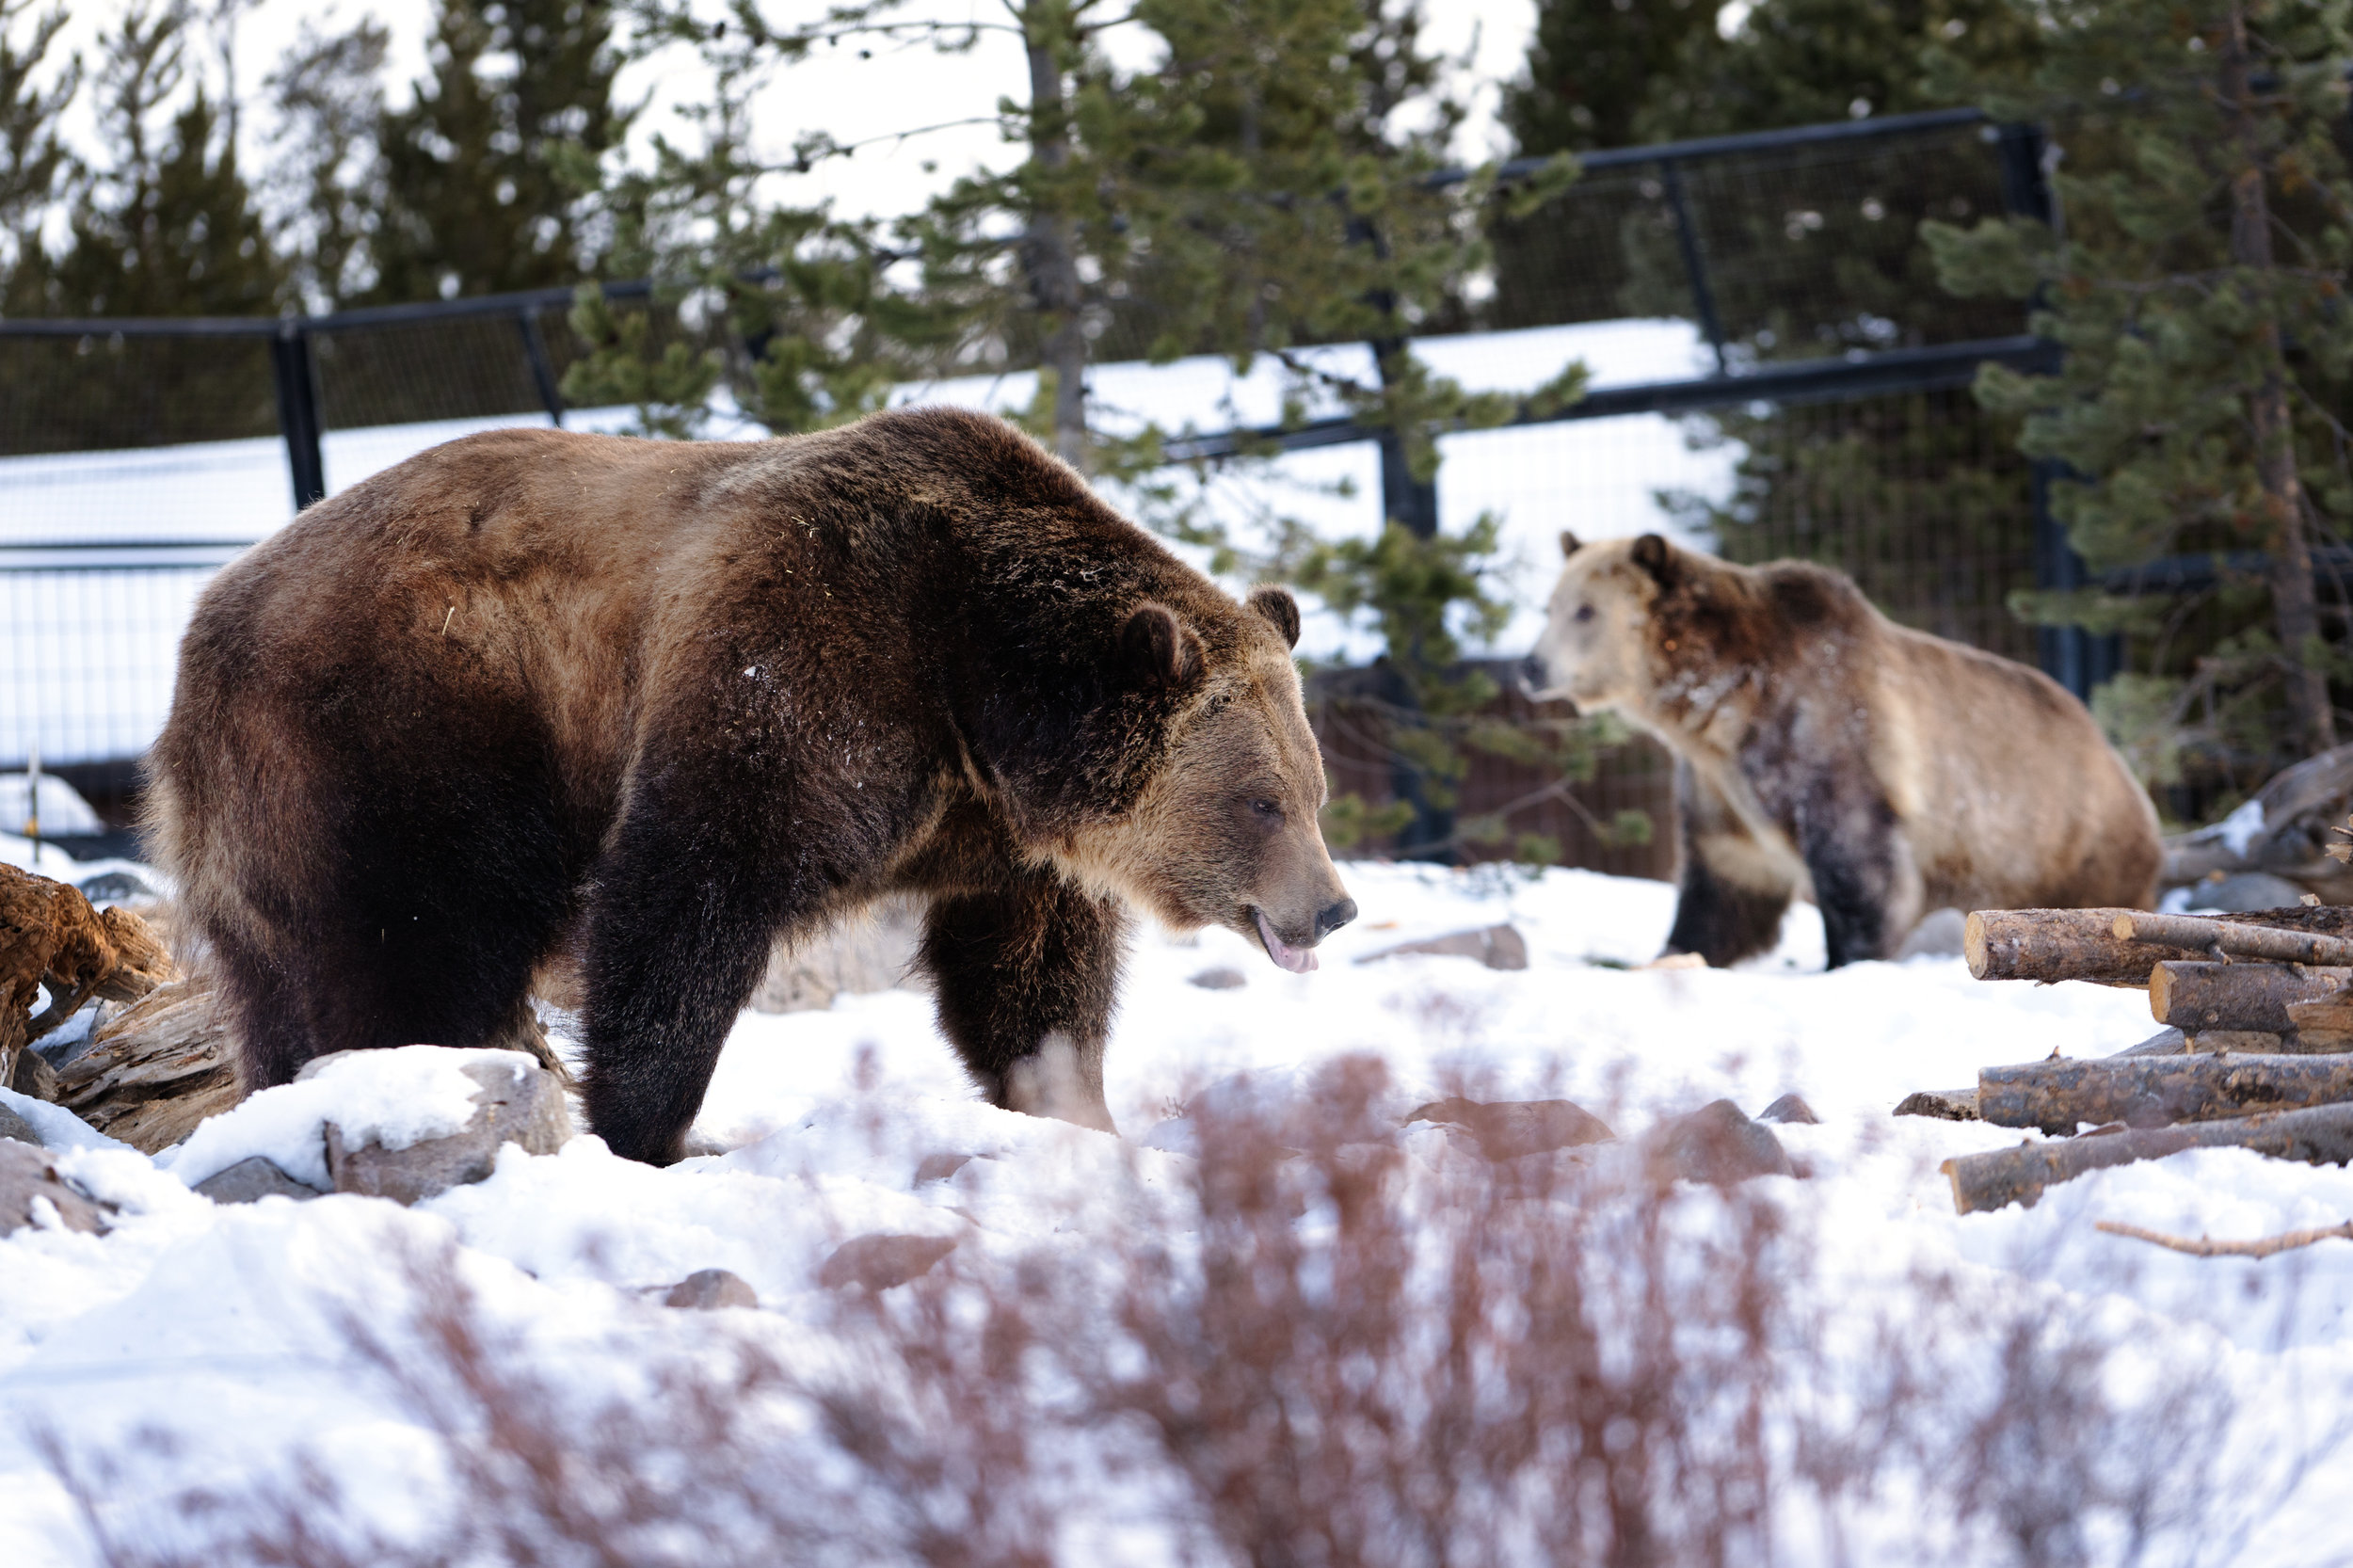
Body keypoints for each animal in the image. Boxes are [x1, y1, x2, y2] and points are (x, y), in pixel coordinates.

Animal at [152, 405, 1365, 1158]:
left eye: (1312, 790)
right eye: (1259, 800)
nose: (1333, 906)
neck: (980, 681)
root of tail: (205, 623)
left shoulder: (997, 830)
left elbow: (1028, 975)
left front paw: (1075, 1110)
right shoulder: (796, 662)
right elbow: (687, 894)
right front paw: (651, 1128)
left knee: (280, 980)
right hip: (404, 729)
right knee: (409, 943)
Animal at [1525, 532, 2165, 960]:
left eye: (1586, 610)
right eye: (1549, 606)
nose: (1530, 666)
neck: (1724, 704)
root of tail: (2125, 772)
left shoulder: (1829, 739)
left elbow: (1862, 876)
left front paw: (1848, 960)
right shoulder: (1718, 787)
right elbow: (1726, 888)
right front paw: (1677, 953)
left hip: (2070, 844)